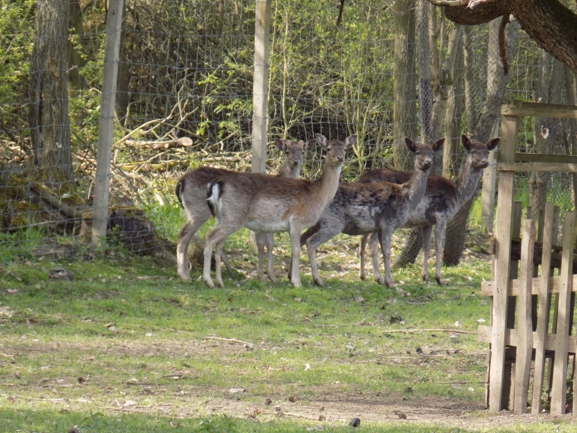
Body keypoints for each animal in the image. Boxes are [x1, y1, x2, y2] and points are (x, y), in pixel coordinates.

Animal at [174, 138, 310, 280]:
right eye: (287, 151)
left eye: (302, 152)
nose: (296, 161)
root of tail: (181, 181)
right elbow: (262, 244)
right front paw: (265, 276)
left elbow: (269, 244)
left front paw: (270, 276)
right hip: (199, 211)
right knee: (184, 234)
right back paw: (184, 275)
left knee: (189, 237)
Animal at [202, 132, 356, 286]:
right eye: (328, 149)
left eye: (345, 149)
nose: (340, 158)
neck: (318, 196)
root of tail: (217, 183)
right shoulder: (296, 221)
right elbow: (296, 250)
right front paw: (296, 282)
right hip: (234, 216)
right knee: (210, 236)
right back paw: (208, 280)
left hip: (223, 217)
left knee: (219, 243)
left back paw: (220, 282)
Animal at [300, 138, 444, 286]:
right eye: (417, 152)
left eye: (432, 153)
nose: (427, 162)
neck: (407, 198)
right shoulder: (388, 223)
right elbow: (387, 251)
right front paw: (389, 281)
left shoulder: (379, 227)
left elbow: (382, 251)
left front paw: (384, 280)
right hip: (333, 223)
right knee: (310, 242)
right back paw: (317, 280)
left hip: (317, 223)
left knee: (301, 240)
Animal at [358, 133, 498, 286]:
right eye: (472, 151)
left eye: (487, 152)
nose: (485, 162)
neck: (457, 194)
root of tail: (361, 179)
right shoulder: (442, 215)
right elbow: (438, 245)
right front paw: (439, 278)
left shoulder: (427, 221)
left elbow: (426, 246)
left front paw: (425, 276)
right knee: (371, 241)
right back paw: (378, 277)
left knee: (363, 239)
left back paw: (363, 275)